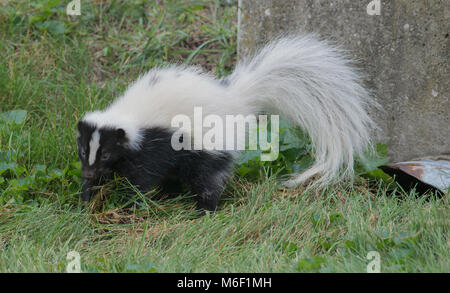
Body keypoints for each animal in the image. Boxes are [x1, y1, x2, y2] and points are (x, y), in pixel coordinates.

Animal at [76, 35, 376, 211]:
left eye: (107, 152)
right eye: (83, 150)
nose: (88, 174)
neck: (127, 115)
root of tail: (235, 98)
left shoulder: (151, 144)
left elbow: (141, 180)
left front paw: (128, 205)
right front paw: (87, 199)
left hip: (210, 145)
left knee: (209, 178)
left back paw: (204, 210)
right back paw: (173, 196)